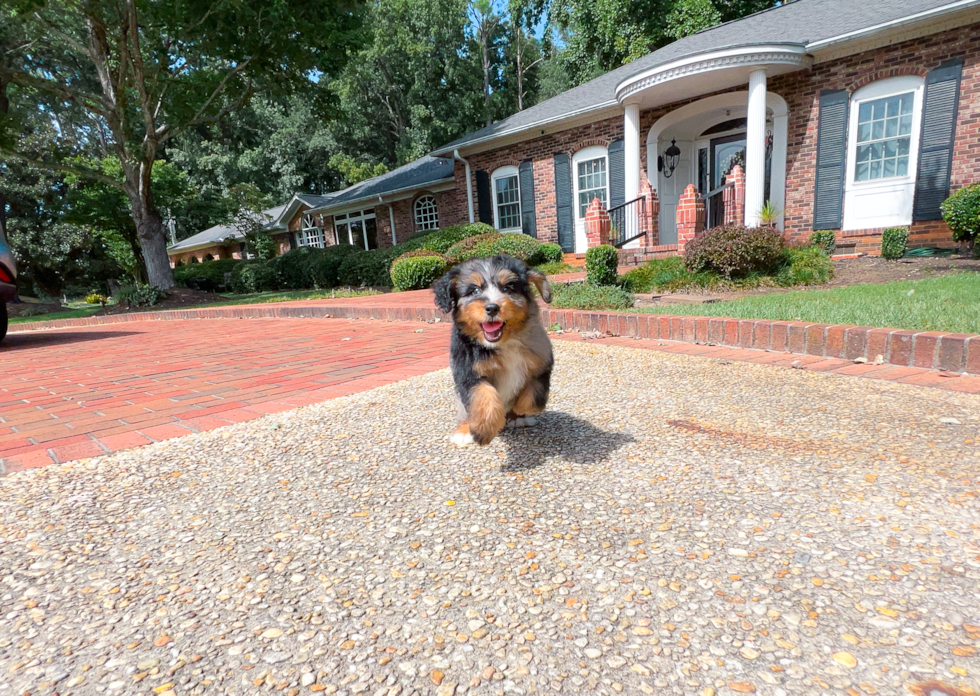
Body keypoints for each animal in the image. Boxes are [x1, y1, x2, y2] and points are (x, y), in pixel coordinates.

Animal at [434, 254, 556, 446]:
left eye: (507, 288)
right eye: (475, 291)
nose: (492, 308)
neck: (504, 343)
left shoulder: (541, 359)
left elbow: (534, 391)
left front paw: (520, 410)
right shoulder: (467, 370)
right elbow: (484, 394)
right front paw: (484, 429)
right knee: (464, 410)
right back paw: (463, 431)